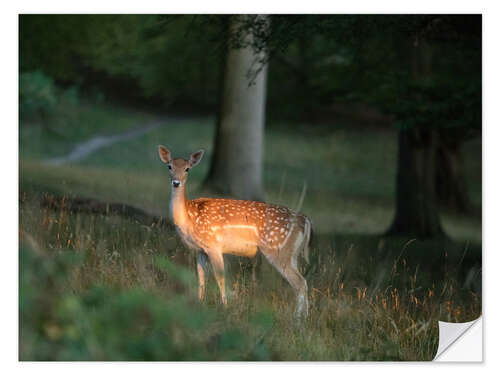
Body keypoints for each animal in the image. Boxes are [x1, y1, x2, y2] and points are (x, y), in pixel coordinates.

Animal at [157, 145, 312, 318]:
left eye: (187, 169)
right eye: (169, 166)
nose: (176, 182)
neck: (189, 218)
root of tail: (304, 220)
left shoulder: (213, 245)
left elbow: (220, 276)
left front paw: (224, 307)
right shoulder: (200, 249)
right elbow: (201, 277)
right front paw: (199, 303)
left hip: (278, 249)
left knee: (300, 283)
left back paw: (298, 319)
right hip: (291, 253)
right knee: (301, 281)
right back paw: (305, 317)